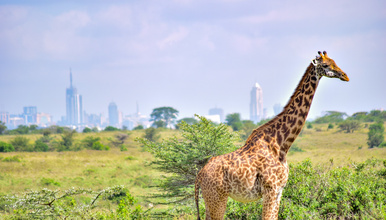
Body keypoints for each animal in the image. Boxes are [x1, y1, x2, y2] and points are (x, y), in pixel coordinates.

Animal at [195, 50, 348, 219]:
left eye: (334, 61)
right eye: (326, 65)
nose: (345, 76)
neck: (282, 144)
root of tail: (200, 174)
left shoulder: (279, 190)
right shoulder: (271, 189)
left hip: (210, 200)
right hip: (218, 198)